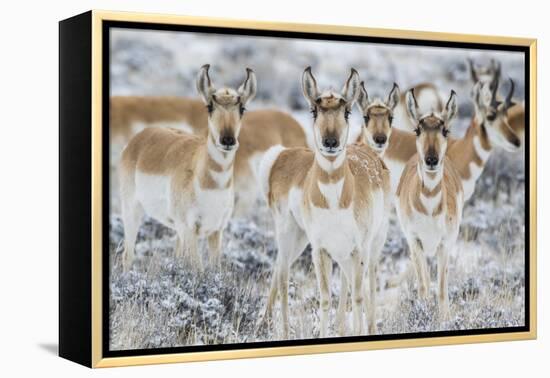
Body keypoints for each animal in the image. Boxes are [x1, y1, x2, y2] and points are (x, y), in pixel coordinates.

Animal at [119, 65, 258, 272]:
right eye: (209, 106)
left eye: (242, 108)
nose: (227, 140)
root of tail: (140, 138)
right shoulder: (190, 230)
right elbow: (198, 270)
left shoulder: (216, 231)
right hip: (132, 211)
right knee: (128, 255)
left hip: (176, 231)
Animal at [260, 67, 392, 336]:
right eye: (314, 110)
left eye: (347, 111)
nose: (330, 142)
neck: (334, 202)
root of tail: (281, 155)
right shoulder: (320, 249)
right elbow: (324, 299)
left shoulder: (356, 249)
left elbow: (357, 297)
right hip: (291, 235)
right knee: (282, 275)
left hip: (367, 244)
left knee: (368, 284)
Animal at [396, 88, 466, 316]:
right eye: (417, 129)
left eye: (445, 130)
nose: (431, 160)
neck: (429, 209)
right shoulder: (415, 240)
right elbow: (424, 286)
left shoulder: (445, 243)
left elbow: (442, 289)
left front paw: (444, 317)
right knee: (423, 279)